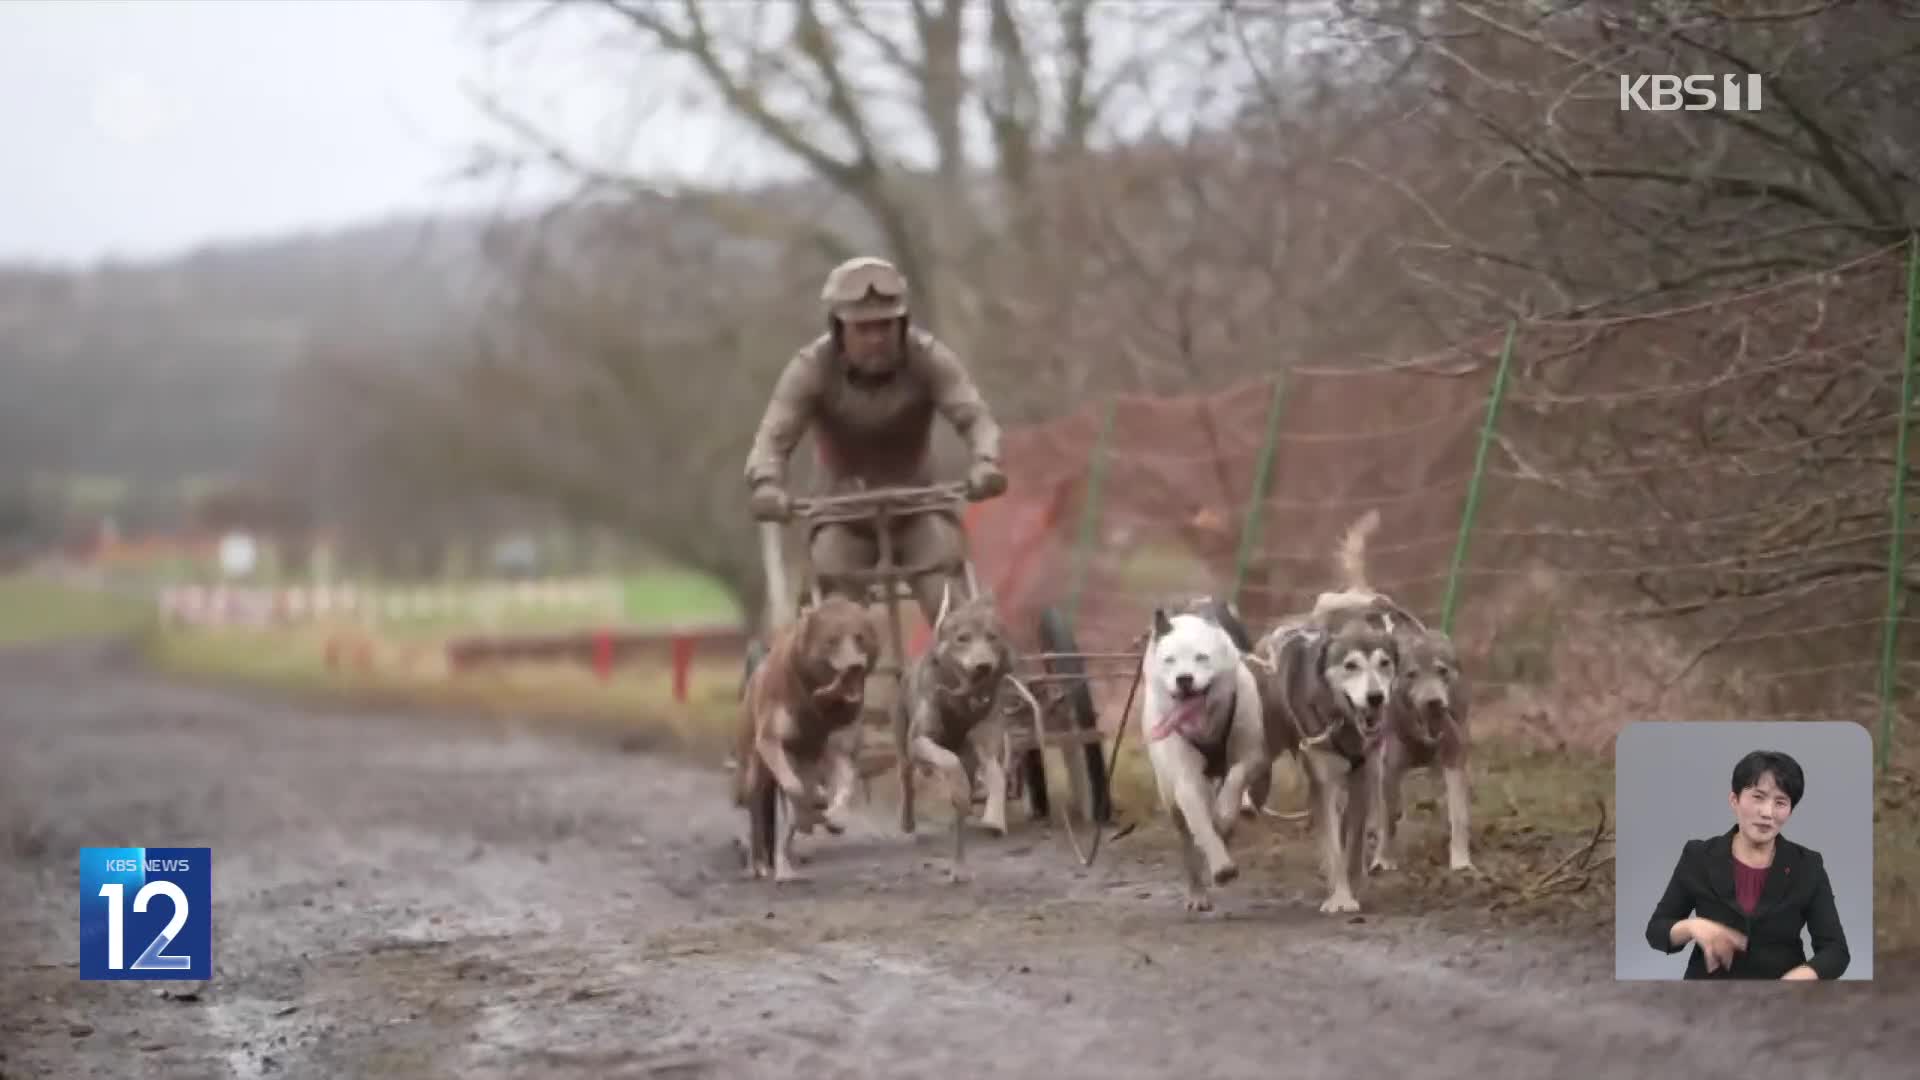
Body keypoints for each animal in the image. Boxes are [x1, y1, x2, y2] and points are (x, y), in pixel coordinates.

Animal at [733, 591, 879, 880]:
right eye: (831, 640)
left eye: (859, 637)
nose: (855, 667)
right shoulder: (771, 740)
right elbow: (795, 788)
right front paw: (814, 807)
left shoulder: (840, 749)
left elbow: (843, 788)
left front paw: (834, 818)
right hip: (754, 771)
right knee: (757, 815)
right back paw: (759, 864)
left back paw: (785, 867)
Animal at [1136, 607, 1274, 907]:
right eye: (1169, 660)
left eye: (1202, 657)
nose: (1184, 679)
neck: (1206, 724)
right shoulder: (1187, 780)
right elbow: (1201, 824)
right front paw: (1221, 867)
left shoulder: (1253, 756)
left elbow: (1236, 778)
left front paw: (1225, 813)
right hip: (1169, 797)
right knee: (1187, 841)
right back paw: (1197, 891)